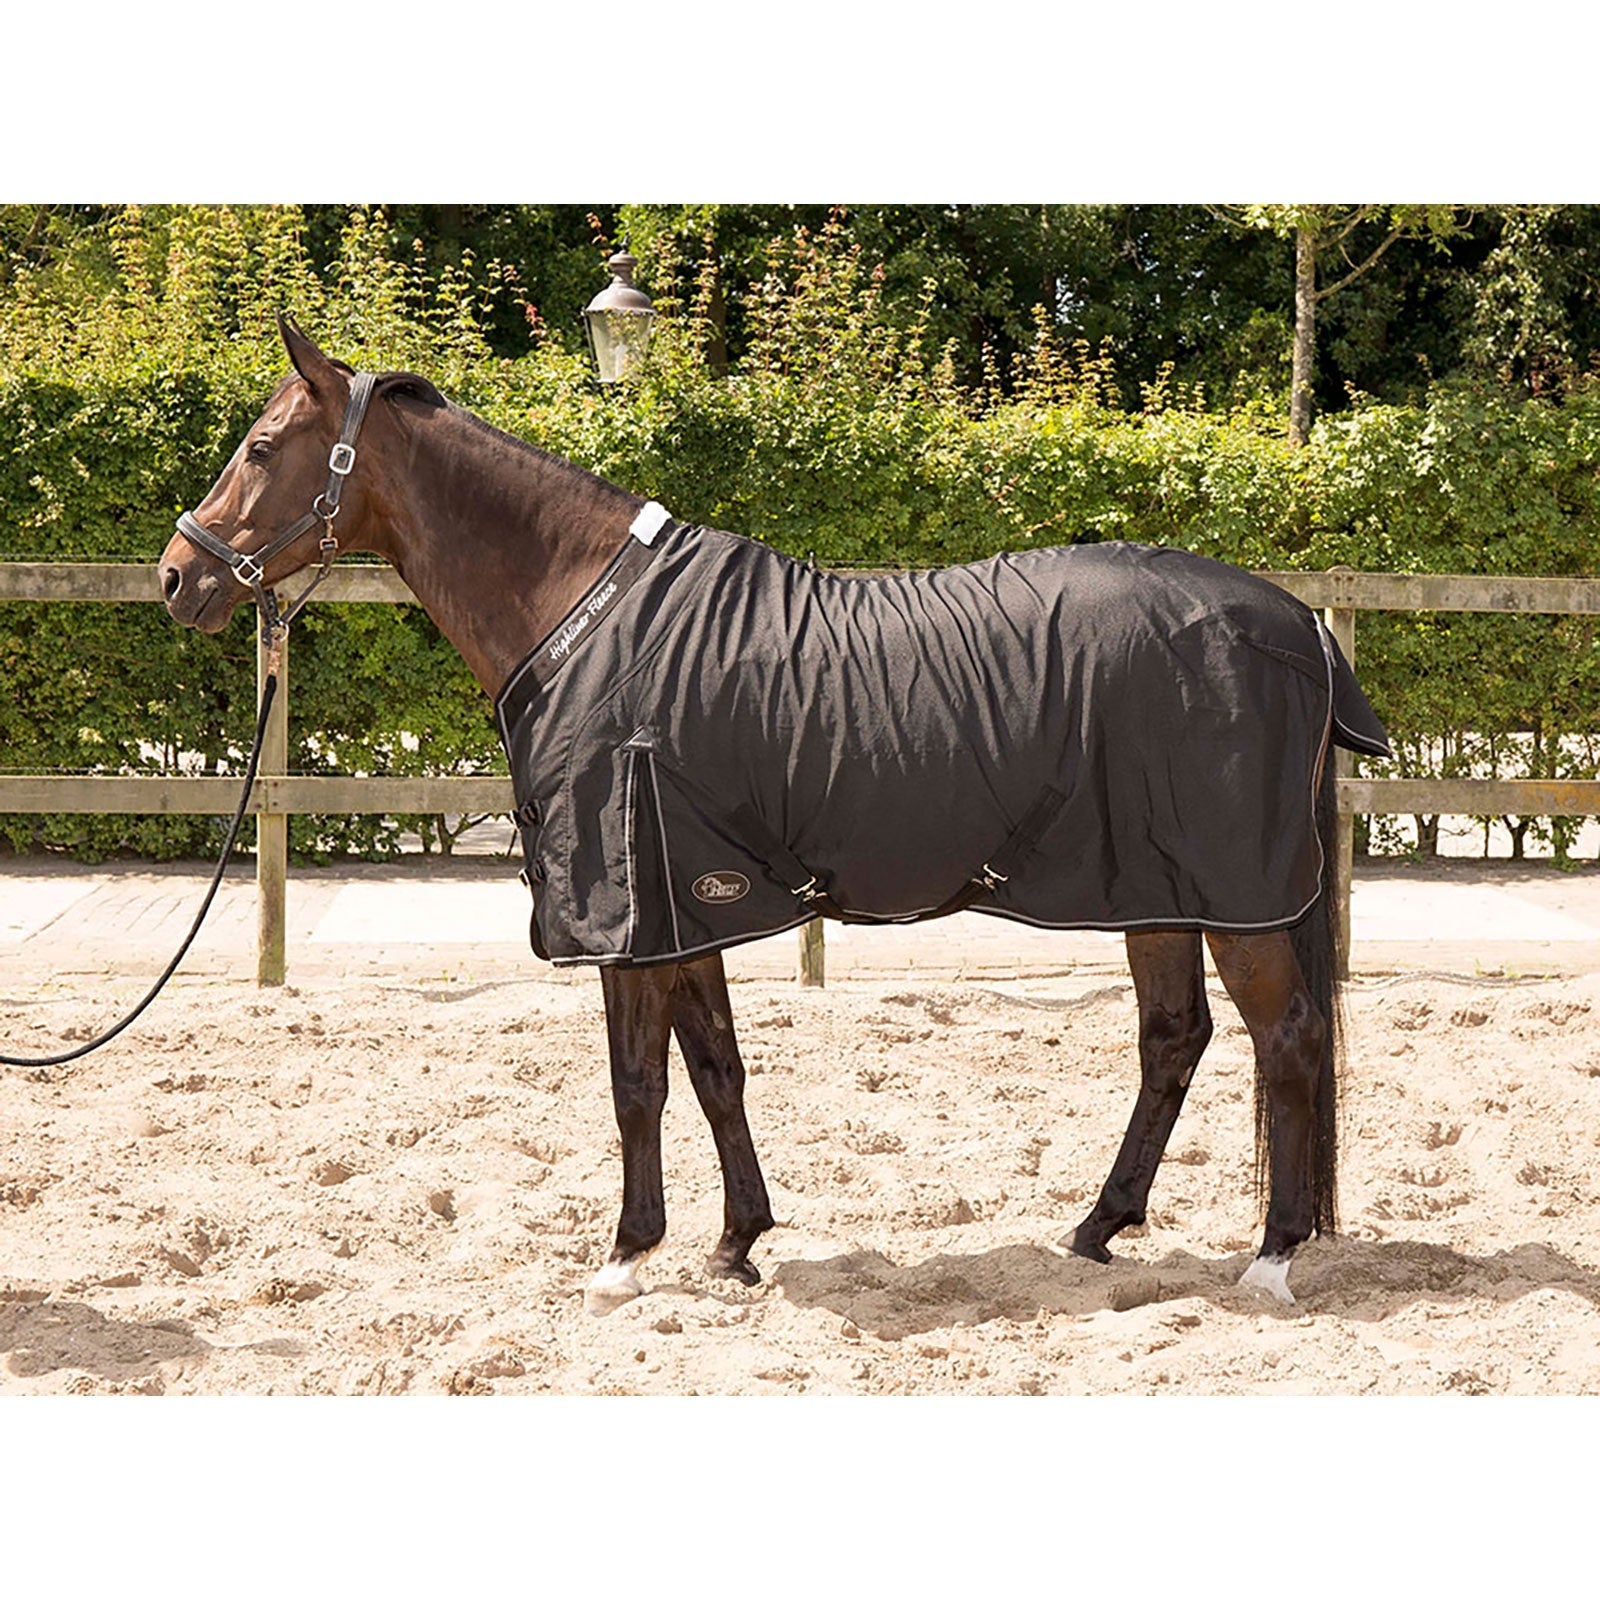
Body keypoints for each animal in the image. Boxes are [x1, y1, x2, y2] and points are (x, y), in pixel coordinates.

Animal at [159, 316, 1389, 1314]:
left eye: (260, 449)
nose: (179, 577)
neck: (585, 615)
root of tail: (1295, 624)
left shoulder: (630, 911)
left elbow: (638, 1083)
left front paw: (626, 1258)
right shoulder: (685, 904)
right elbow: (715, 1070)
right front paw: (735, 1244)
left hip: (1231, 896)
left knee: (1286, 1038)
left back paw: (1272, 1257)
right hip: (1154, 887)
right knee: (1174, 1038)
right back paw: (1097, 1228)